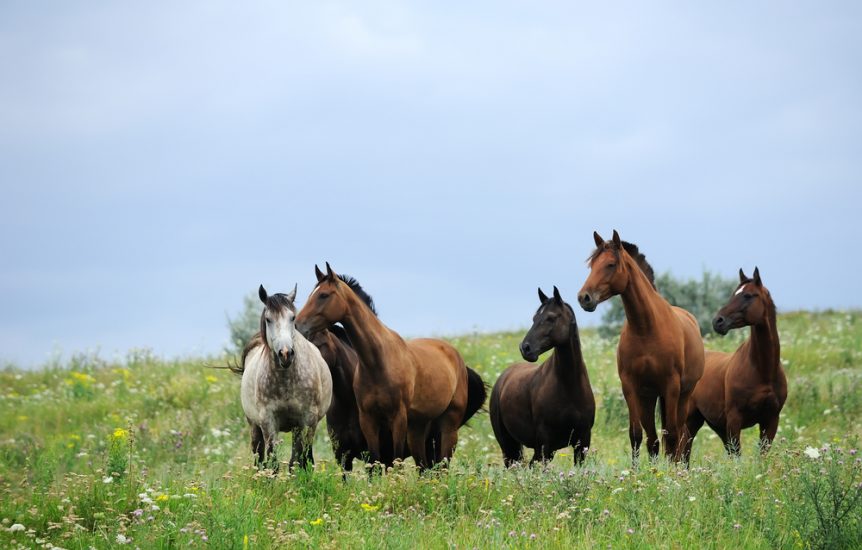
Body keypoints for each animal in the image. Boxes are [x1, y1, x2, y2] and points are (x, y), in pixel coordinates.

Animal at [235, 284, 332, 471]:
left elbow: (302, 460)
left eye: (292, 317)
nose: (286, 353)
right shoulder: (268, 421)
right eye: (268, 319)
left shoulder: (307, 420)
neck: (286, 381)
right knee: (259, 458)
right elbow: (272, 463)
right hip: (254, 426)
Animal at [296, 263, 487, 470]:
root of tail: (457, 358)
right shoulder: (368, 421)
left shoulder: (398, 419)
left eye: (323, 295)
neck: (377, 363)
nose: (297, 325)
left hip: (448, 427)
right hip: (418, 430)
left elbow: (395, 461)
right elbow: (375, 461)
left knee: (442, 466)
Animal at [490, 286, 595, 467]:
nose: (525, 348)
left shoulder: (582, 442)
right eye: (534, 318)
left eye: (551, 318)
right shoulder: (545, 444)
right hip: (508, 445)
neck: (570, 387)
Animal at [577, 230, 704, 463]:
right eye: (592, 266)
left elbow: (672, 435)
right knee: (654, 439)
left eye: (610, 264)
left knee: (680, 434)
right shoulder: (631, 387)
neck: (646, 330)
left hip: (683, 395)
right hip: (649, 398)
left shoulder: (671, 387)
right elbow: (636, 435)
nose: (584, 297)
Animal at [684, 267, 787, 457]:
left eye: (748, 295)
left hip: (715, 425)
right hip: (690, 420)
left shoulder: (770, 420)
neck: (763, 371)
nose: (718, 321)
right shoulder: (734, 419)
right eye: (733, 294)